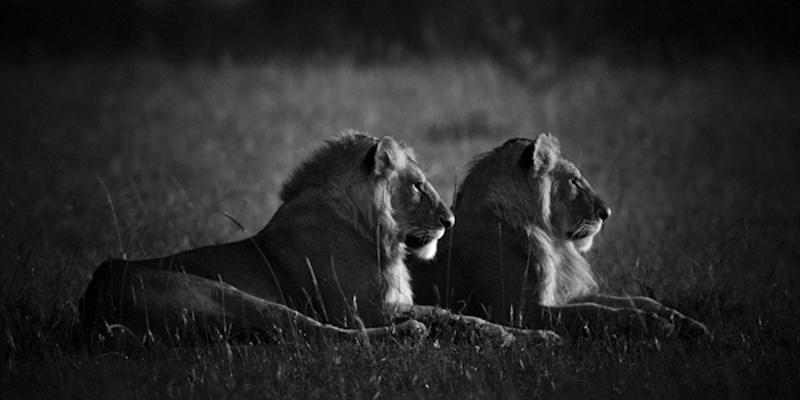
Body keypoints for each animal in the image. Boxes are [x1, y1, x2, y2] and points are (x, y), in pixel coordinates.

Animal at [411, 133, 710, 339]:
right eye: (574, 180)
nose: (606, 213)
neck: (551, 239)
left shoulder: (559, 295)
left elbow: (636, 301)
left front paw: (689, 323)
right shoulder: (518, 311)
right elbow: (592, 311)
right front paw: (657, 325)